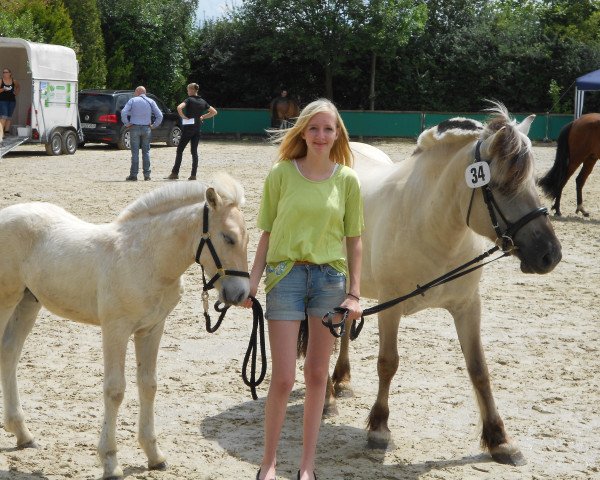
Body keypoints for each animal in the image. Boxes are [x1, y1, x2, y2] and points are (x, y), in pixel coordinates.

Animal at [0, 174, 250, 478]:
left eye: (248, 237)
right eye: (228, 237)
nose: (241, 294)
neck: (145, 258)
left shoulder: (152, 328)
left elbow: (148, 385)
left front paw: (155, 456)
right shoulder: (115, 329)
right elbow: (115, 390)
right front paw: (110, 462)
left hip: (28, 301)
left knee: (9, 353)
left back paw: (23, 434)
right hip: (6, 299)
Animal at [328, 105, 564, 464]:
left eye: (532, 180)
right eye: (500, 185)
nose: (550, 254)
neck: (429, 222)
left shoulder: (468, 306)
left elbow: (479, 368)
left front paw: (499, 439)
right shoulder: (390, 307)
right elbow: (388, 363)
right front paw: (379, 429)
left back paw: (341, 381)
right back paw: (328, 398)